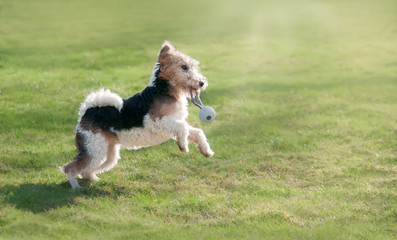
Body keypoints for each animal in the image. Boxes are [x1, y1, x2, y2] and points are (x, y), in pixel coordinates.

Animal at [61, 41, 213, 189]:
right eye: (183, 67)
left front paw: (207, 151)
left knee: (85, 171)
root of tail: (87, 110)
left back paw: (94, 180)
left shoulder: (174, 121)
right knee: (69, 168)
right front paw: (183, 146)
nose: (202, 83)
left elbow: (196, 132)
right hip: (94, 151)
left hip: (108, 154)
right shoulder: (156, 121)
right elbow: (184, 128)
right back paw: (76, 187)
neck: (162, 89)